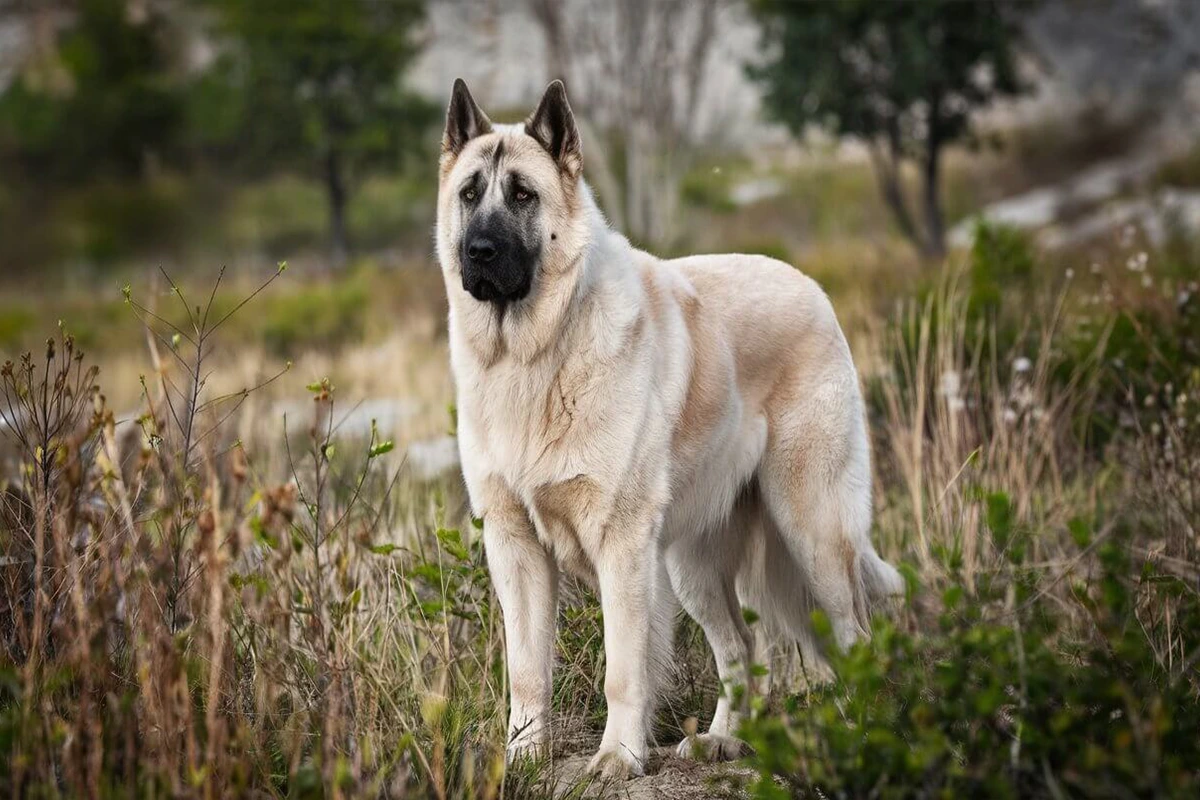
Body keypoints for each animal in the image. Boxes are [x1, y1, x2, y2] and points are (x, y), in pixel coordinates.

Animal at [434, 77, 902, 777]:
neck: (536, 355)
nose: (479, 252)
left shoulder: (622, 545)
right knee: (742, 649)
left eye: (522, 195)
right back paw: (723, 739)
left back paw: (860, 731)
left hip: (812, 531)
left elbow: (623, 669)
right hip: (693, 565)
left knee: (853, 634)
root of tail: (812, 289)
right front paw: (523, 755)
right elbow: (527, 669)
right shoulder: (515, 547)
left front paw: (618, 757)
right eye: (469, 194)